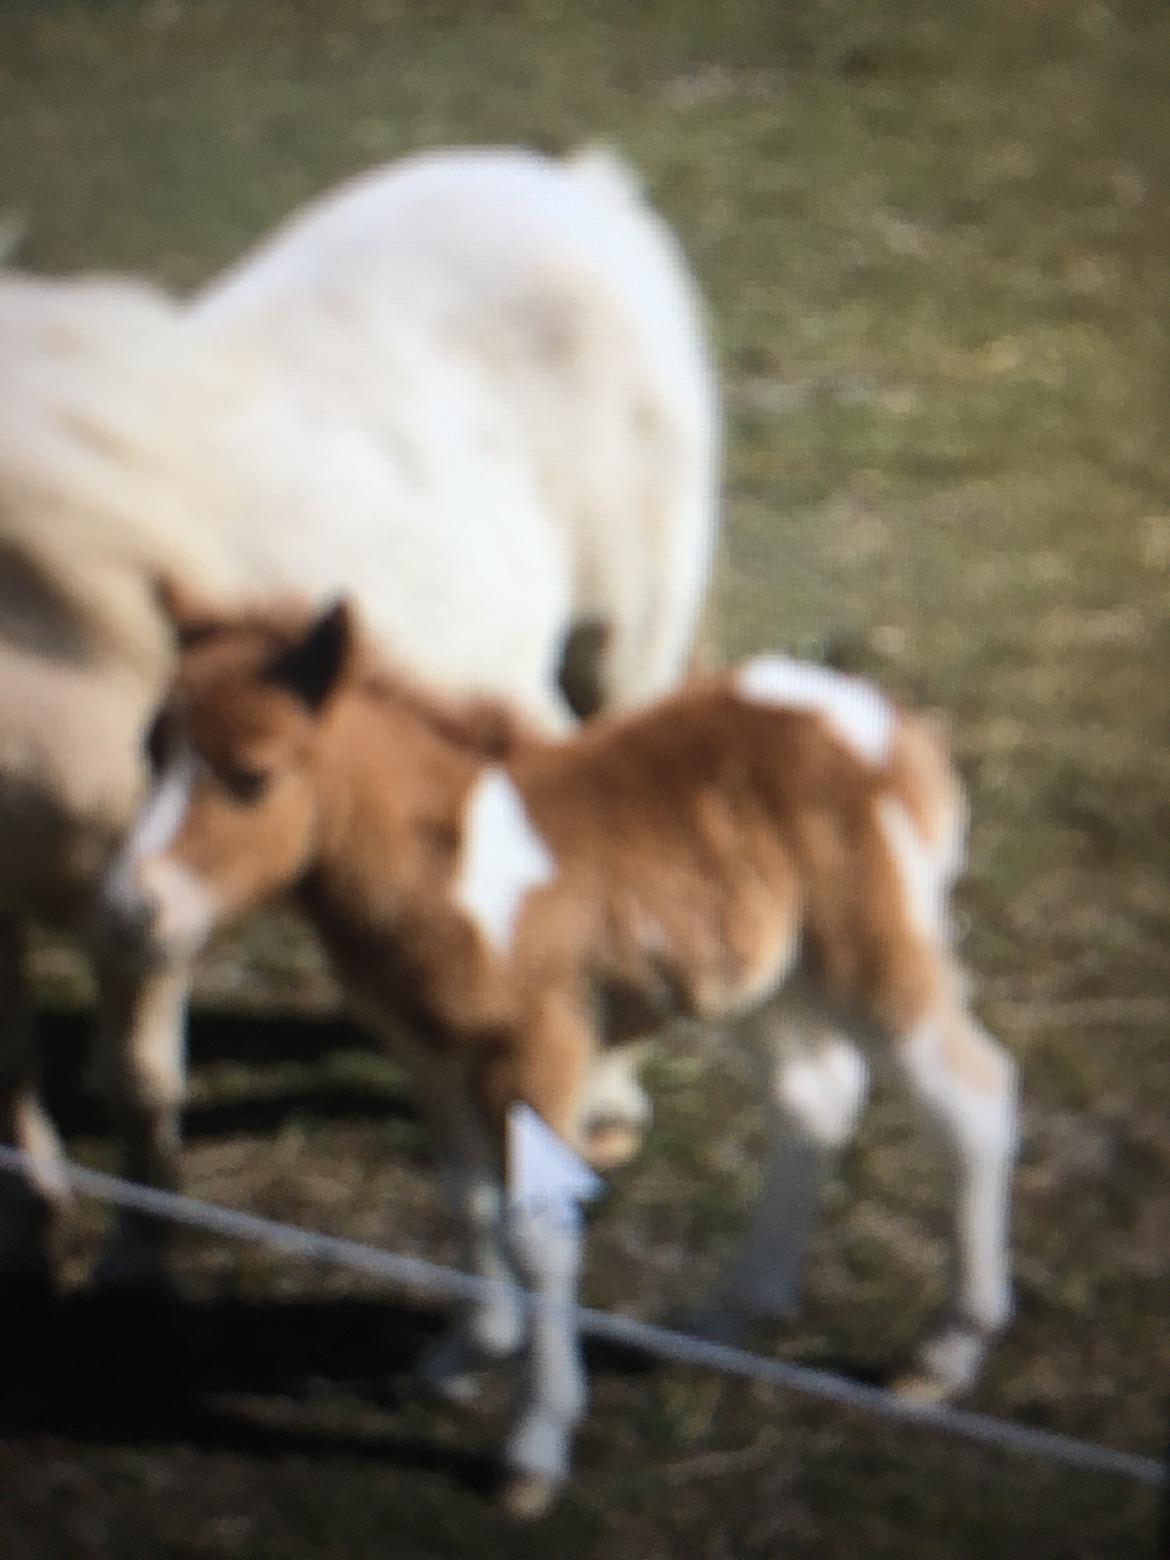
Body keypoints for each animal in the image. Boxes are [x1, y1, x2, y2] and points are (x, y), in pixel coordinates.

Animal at [105, 589, 1023, 1516]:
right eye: (148, 749)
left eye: (251, 775)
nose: (131, 909)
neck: (450, 869)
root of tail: (888, 722)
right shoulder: (432, 1058)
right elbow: (464, 1197)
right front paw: (469, 1351)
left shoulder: (533, 1048)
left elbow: (537, 1225)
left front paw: (534, 1446)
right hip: (765, 976)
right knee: (816, 1098)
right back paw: (729, 1316)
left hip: (874, 954)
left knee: (975, 1101)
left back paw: (942, 1356)